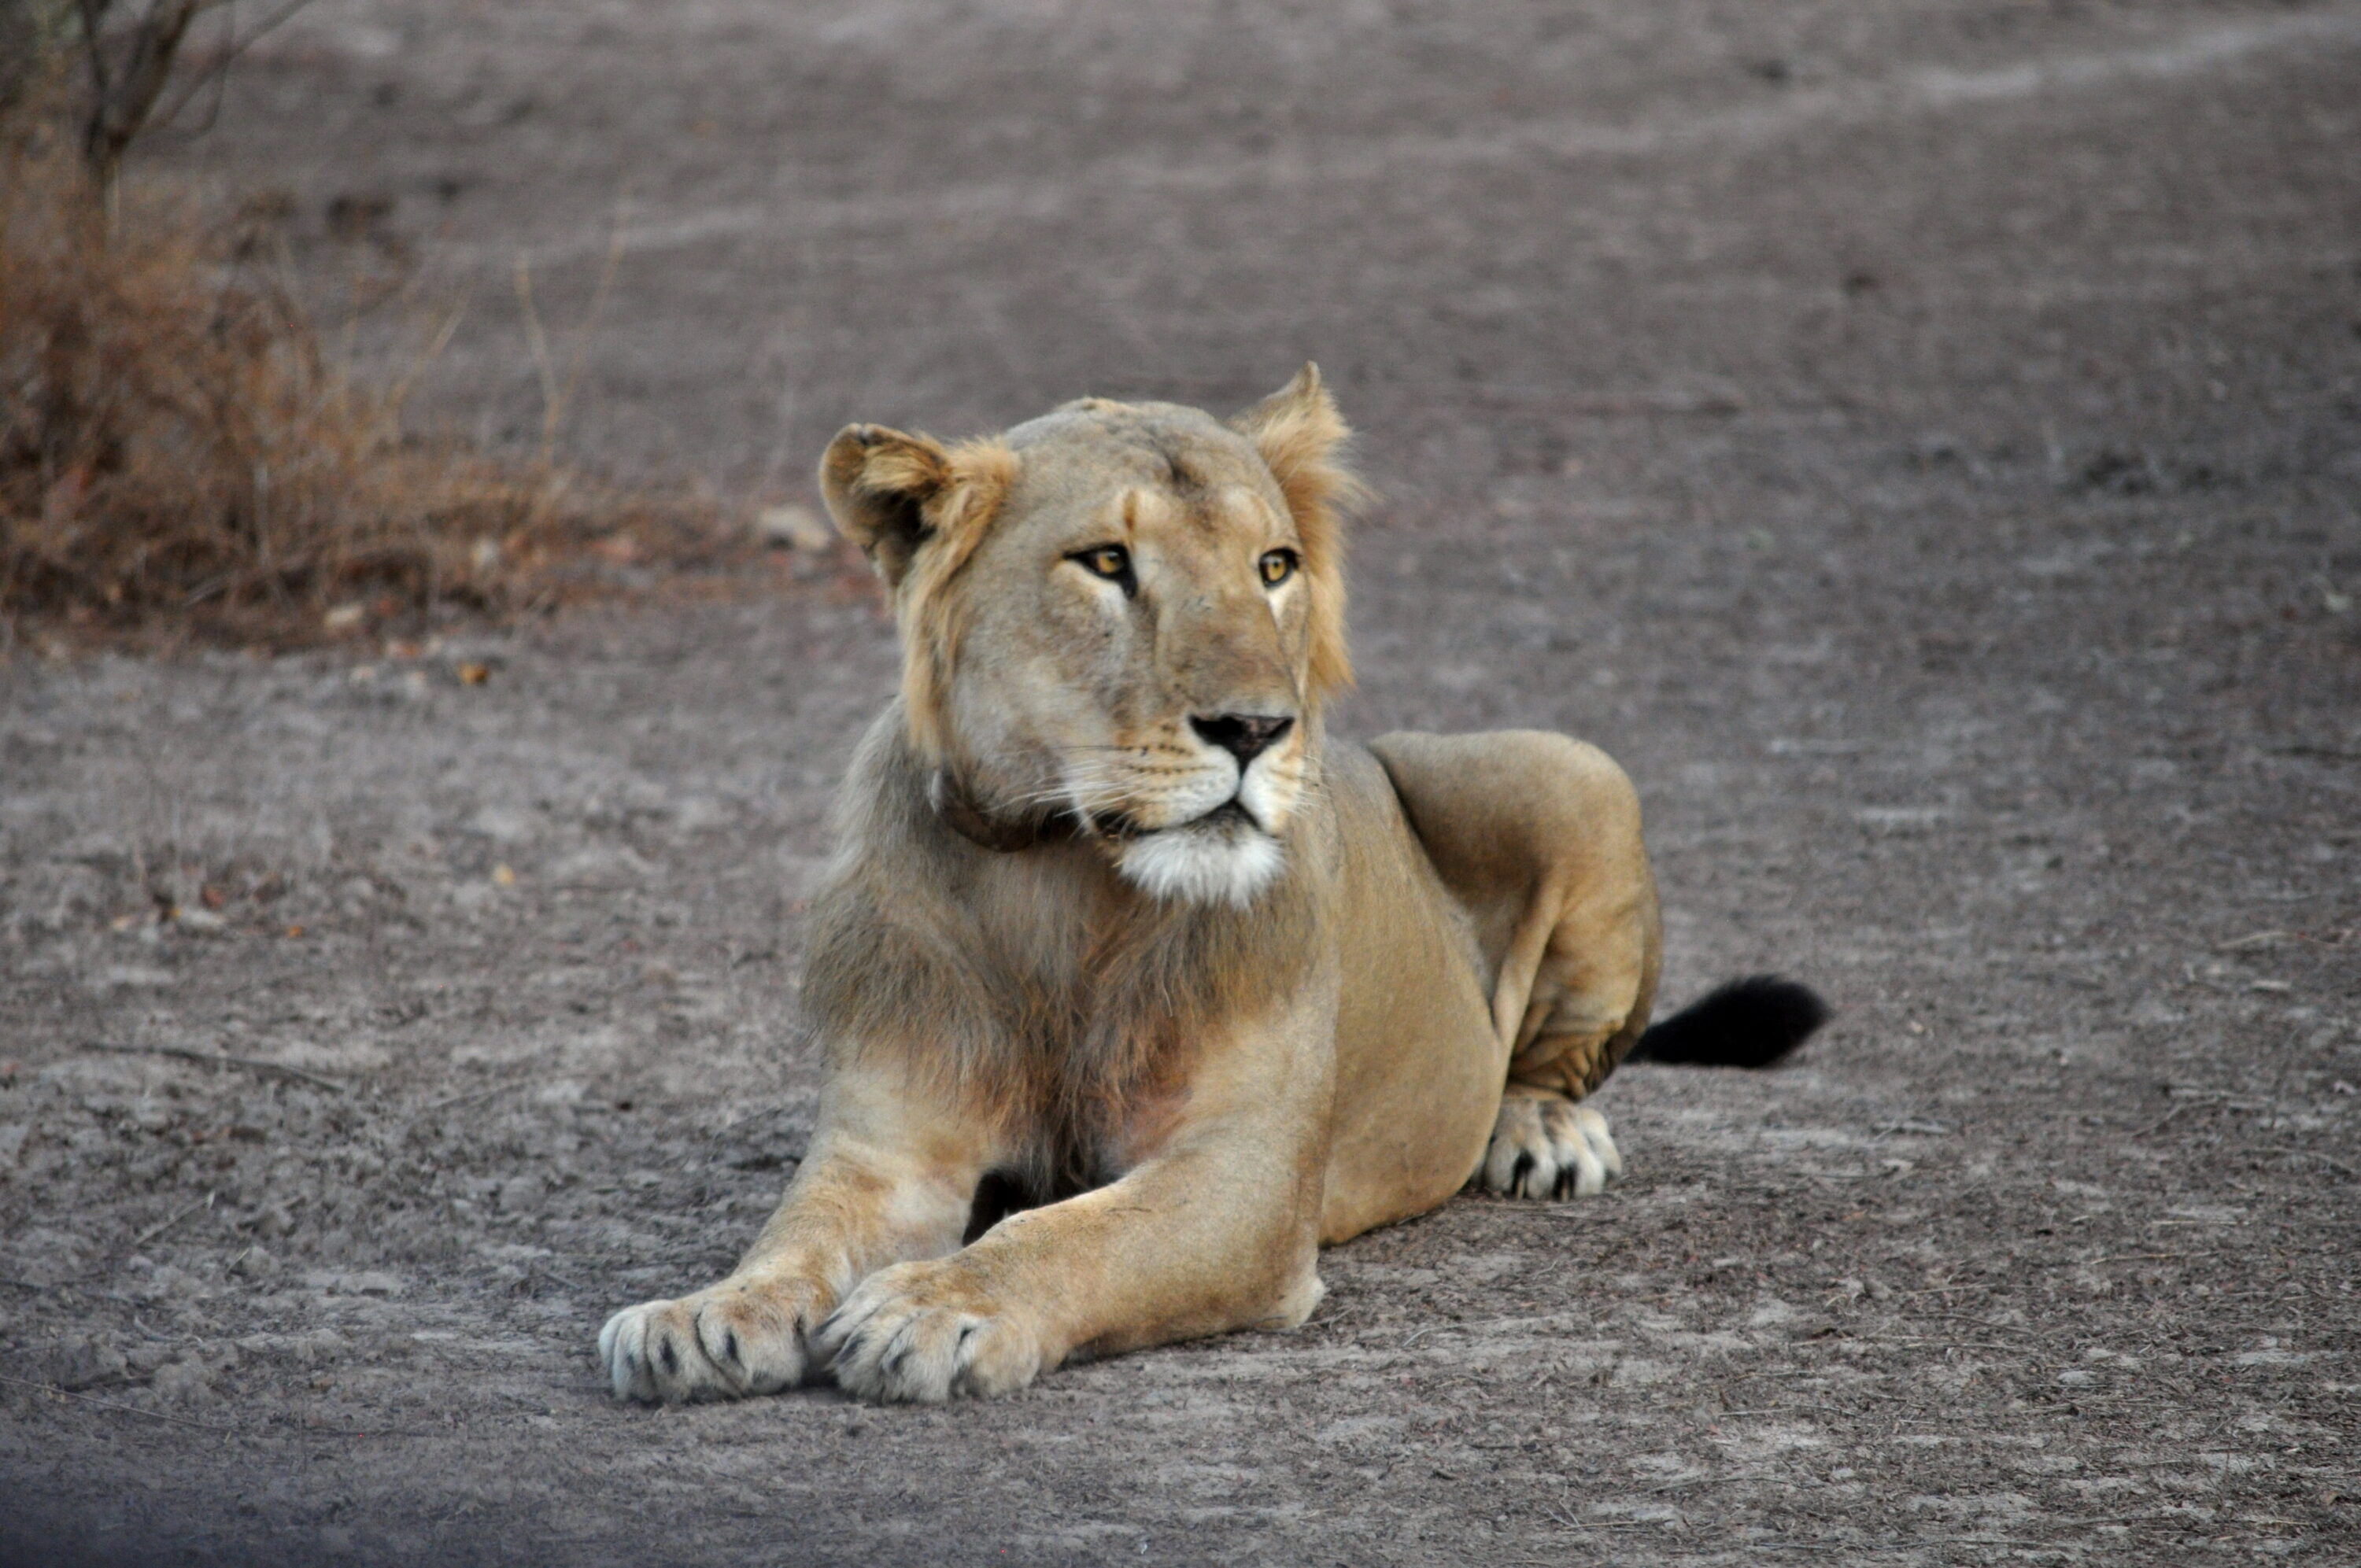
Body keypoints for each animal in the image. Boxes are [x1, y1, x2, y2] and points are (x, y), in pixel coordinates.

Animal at [598, 367, 1826, 1404]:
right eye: (1107, 562)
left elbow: (1067, 1233)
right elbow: (797, 1232)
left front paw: (934, 1305)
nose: (1256, 728)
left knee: (1551, 1054)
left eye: (1273, 568)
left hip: (1573, 768)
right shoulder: (888, 1149)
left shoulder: (1248, 1177)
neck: (1063, 880)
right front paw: (703, 1313)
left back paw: (1544, 1131)